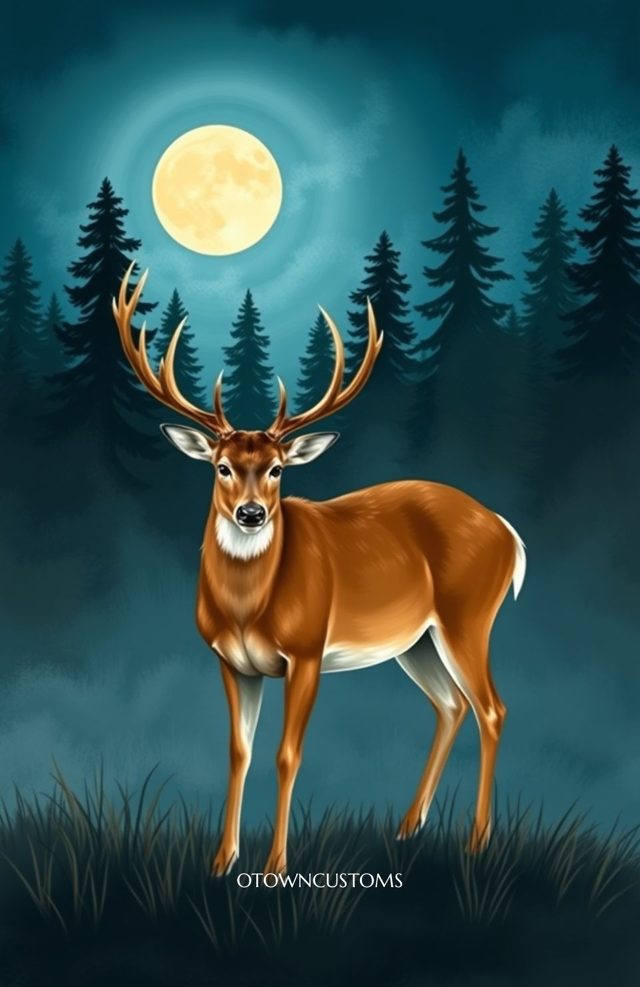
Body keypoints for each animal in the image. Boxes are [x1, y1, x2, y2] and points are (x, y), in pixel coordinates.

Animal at [113, 264, 526, 877]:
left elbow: (288, 754)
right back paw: (408, 827)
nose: (252, 513)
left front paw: (276, 867)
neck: (248, 608)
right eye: (222, 467)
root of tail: (505, 530)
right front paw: (222, 860)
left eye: (278, 469)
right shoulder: (230, 662)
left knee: (491, 709)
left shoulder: (306, 651)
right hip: (416, 641)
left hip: (468, 616)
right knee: (451, 706)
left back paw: (477, 841)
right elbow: (238, 752)